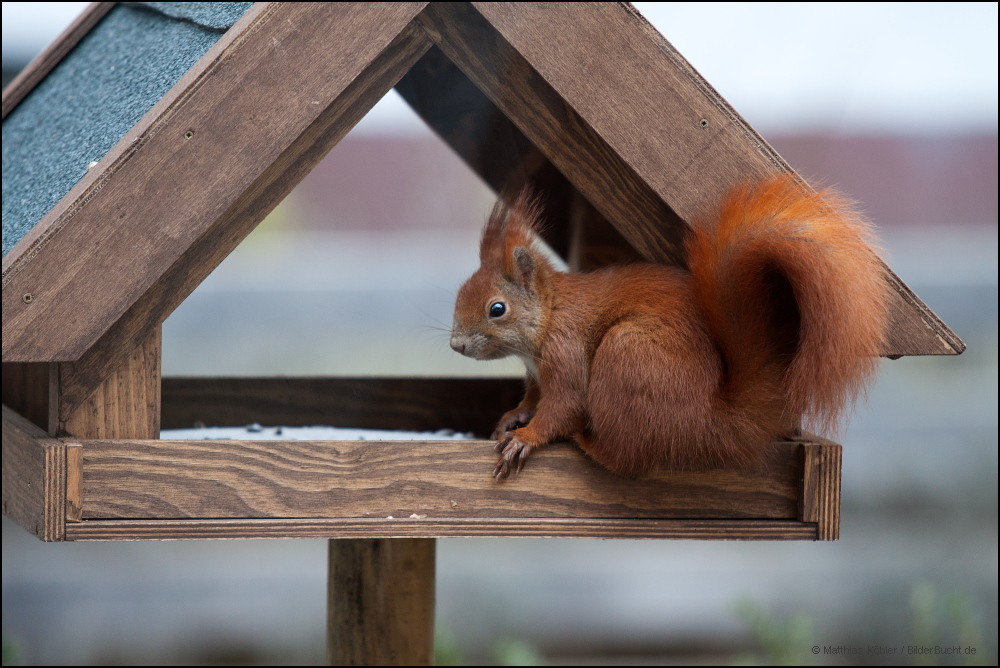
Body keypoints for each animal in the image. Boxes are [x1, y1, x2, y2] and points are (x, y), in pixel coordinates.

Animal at [450, 176, 888, 480]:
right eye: (460, 290)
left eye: (497, 309)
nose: (456, 345)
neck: (549, 315)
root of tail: (713, 423)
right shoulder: (537, 373)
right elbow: (534, 398)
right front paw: (513, 417)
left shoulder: (565, 347)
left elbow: (564, 405)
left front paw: (525, 438)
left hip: (626, 354)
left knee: (628, 460)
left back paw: (589, 444)